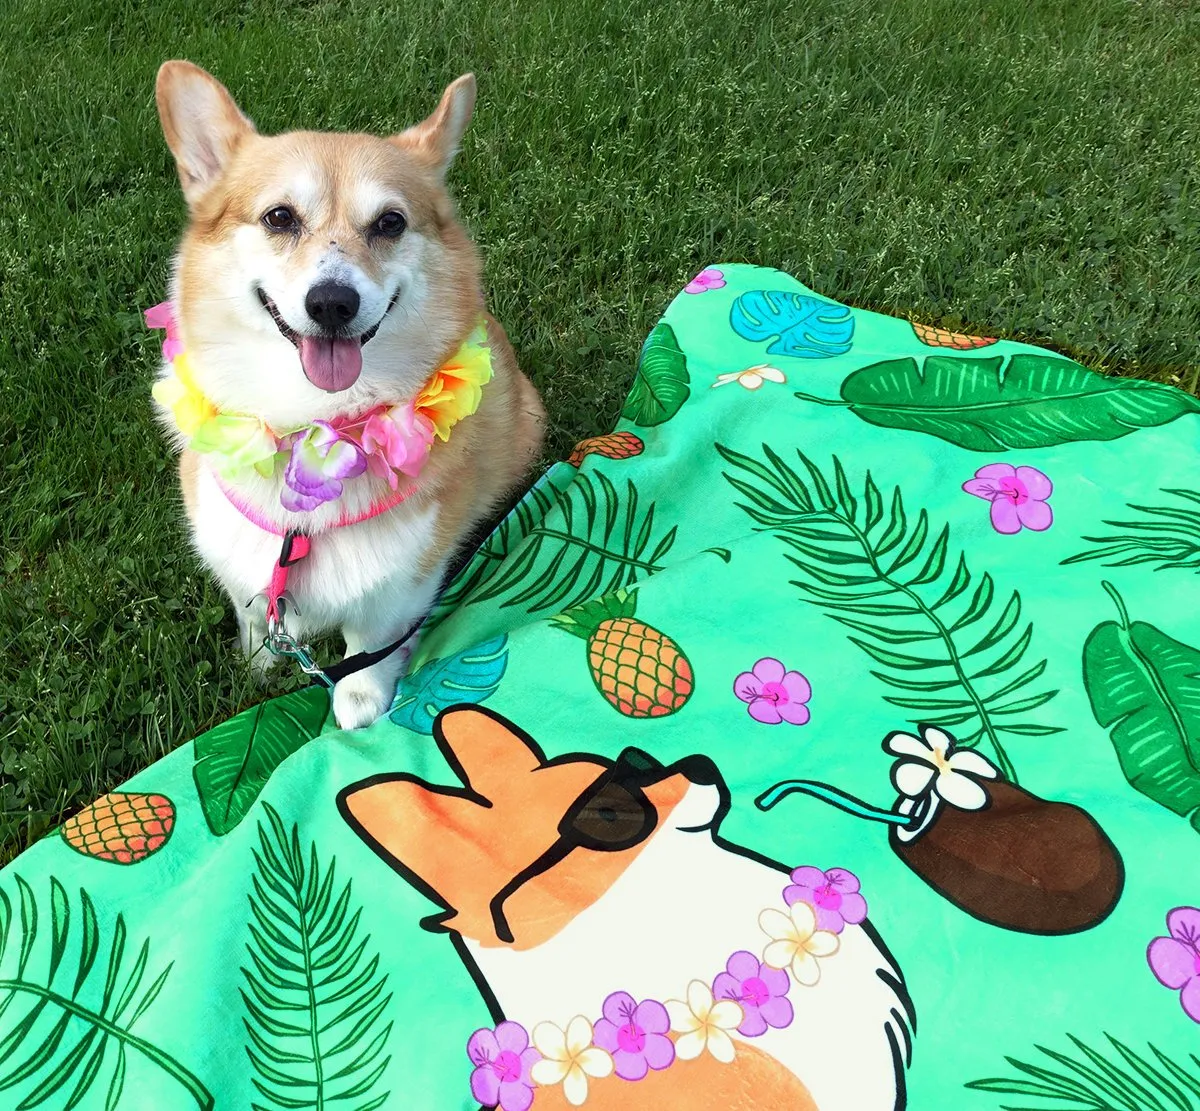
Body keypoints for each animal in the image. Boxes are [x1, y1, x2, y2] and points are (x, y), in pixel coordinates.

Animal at [153, 62, 544, 729]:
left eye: (390, 223)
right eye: (279, 217)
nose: (332, 303)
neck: (314, 425)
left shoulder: (404, 586)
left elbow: (370, 646)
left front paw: (359, 708)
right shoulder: (244, 566)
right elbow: (255, 614)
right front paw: (260, 663)